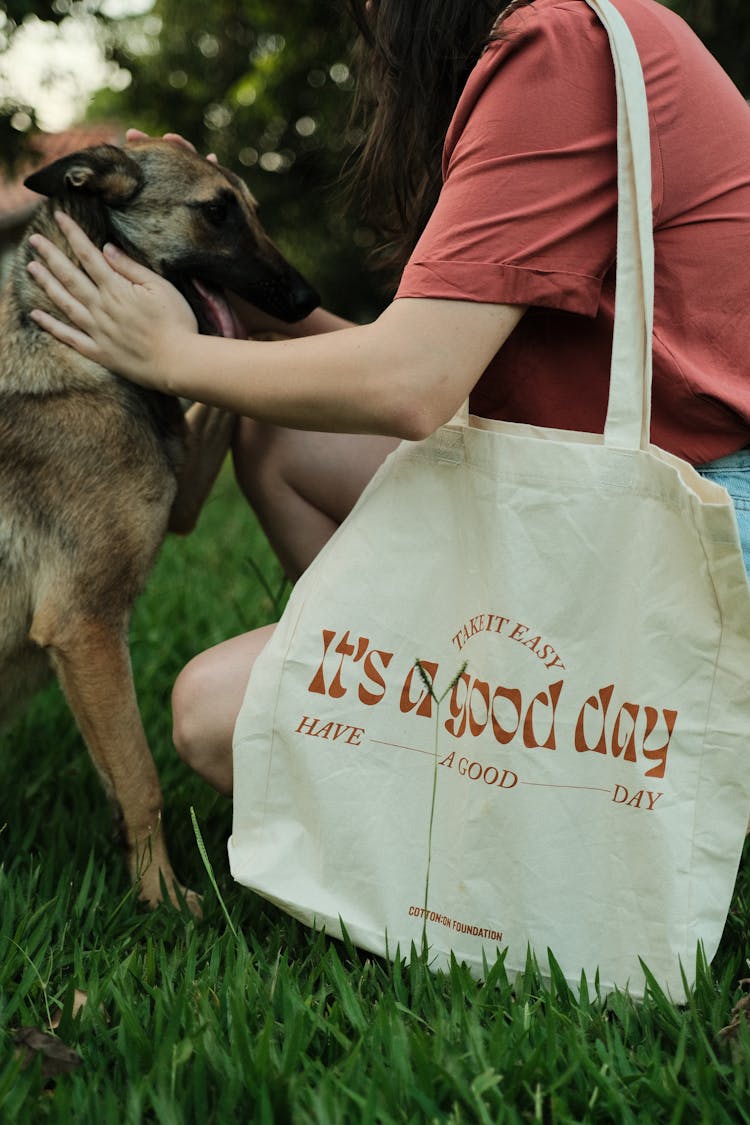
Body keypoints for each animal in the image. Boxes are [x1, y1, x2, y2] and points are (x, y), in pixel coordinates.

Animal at [0, 138, 319, 913]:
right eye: (217, 212)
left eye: (254, 210)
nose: (308, 303)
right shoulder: (84, 625)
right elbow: (141, 778)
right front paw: (164, 900)